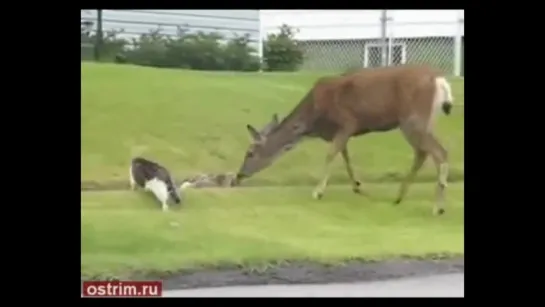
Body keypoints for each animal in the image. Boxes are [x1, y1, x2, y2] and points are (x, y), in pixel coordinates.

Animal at [236, 64, 452, 215]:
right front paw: (357, 186)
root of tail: (439, 79)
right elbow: (344, 156)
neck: (313, 120)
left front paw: (318, 192)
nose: (238, 176)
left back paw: (438, 207)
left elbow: (331, 154)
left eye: (250, 153)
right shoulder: (343, 132)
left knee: (438, 152)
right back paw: (399, 197)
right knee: (423, 153)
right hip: (424, 121)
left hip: (412, 119)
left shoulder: (347, 123)